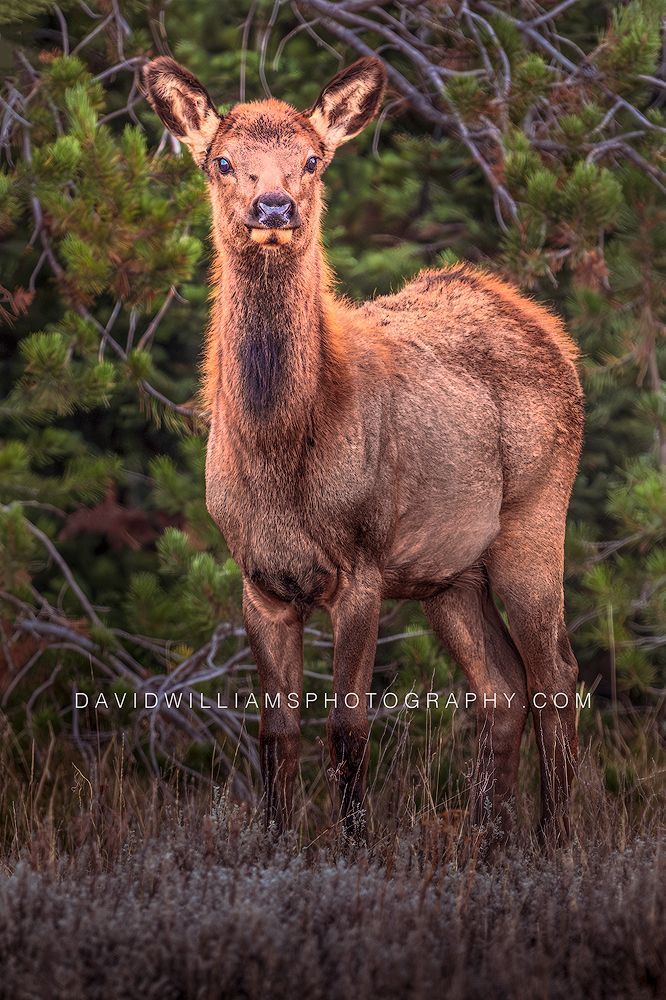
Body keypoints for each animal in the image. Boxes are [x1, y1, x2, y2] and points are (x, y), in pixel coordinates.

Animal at [141, 54, 584, 844]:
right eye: (221, 160)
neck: (280, 461)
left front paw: (355, 847)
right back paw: (487, 846)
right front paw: (276, 844)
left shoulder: (363, 564)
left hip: (536, 518)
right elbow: (276, 734)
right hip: (449, 573)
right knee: (502, 688)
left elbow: (347, 730)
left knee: (556, 676)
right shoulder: (259, 580)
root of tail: (550, 333)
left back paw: (553, 842)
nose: (274, 208)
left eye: (313, 158)